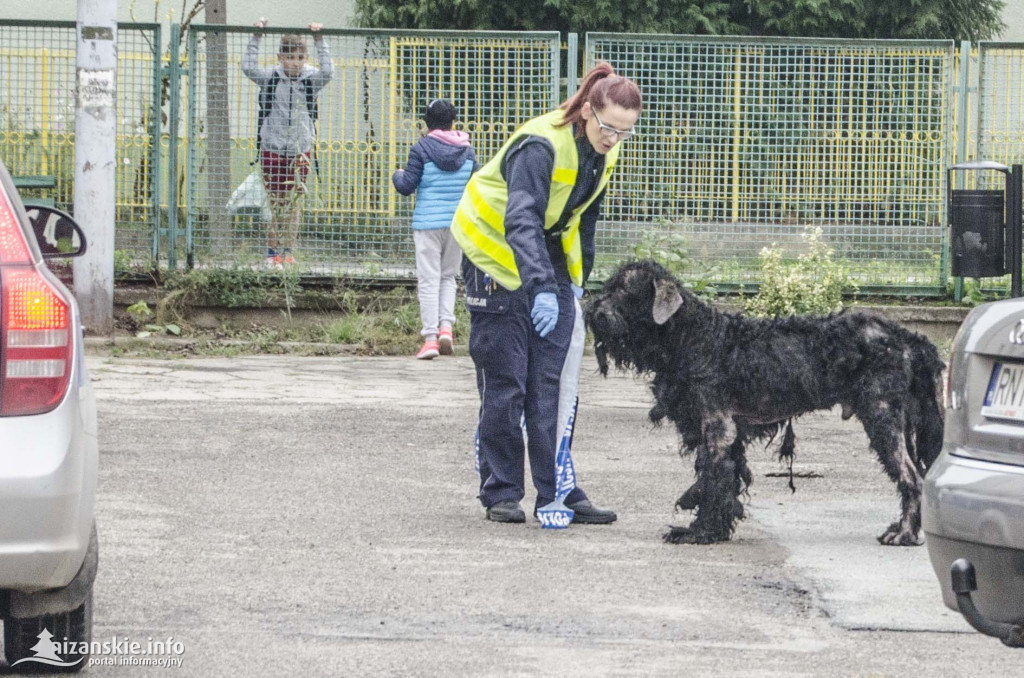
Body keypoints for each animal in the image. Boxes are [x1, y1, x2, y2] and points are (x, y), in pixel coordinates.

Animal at [585, 260, 942, 548]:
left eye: (624, 290)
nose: (592, 312)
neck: (693, 336)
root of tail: (908, 338)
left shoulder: (716, 426)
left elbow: (713, 478)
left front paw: (700, 532)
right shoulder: (727, 434)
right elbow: (724, 479)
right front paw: (717, 527)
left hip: (883, 417)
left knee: (912, 478)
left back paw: (904, 533)